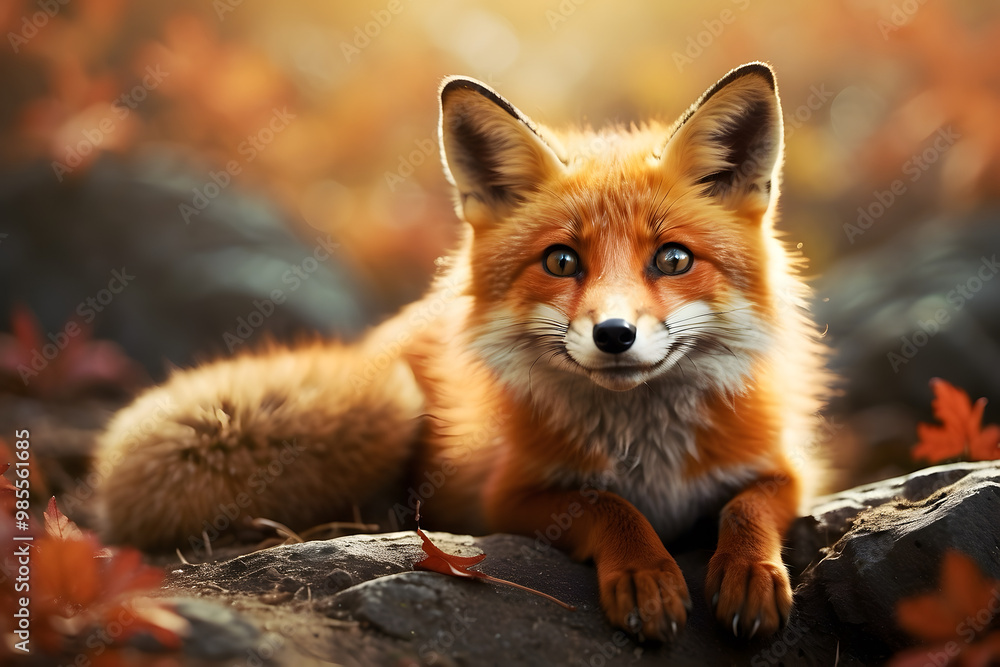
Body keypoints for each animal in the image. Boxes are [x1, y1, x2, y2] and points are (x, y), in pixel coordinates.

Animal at [94, 62, 829, 642]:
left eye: (673, 259)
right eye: (562, 261)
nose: (614, 334)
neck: (649, 458)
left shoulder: (787, 466)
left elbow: (746, 507)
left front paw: (749, 570)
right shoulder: (506, 499)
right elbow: (606, 505)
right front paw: (647, 571)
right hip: (390, 408)